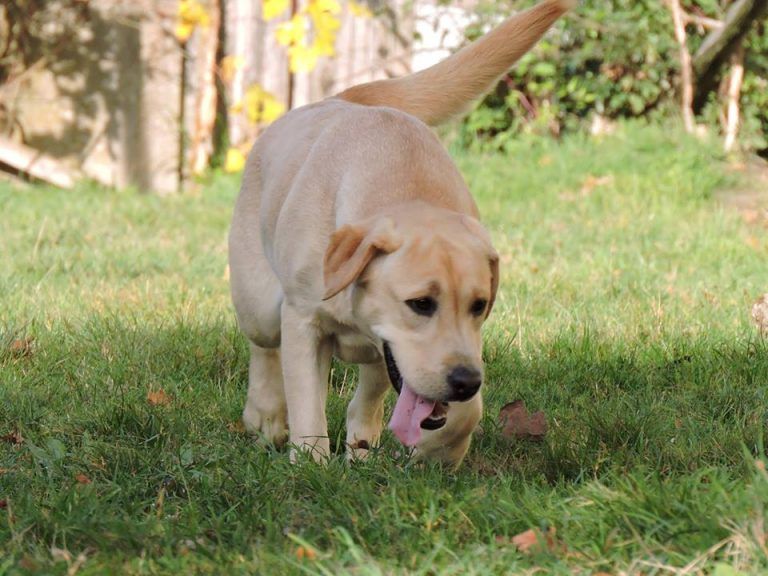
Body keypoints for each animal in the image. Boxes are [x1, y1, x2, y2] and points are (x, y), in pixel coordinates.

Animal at [231, 0, 572, 466]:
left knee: (369, 389)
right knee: (265, 348)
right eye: (421, 303)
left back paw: (362, 443)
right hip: (258, 302)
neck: (404, 185)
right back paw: (265, 415)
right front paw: (312, 463)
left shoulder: (450, 352)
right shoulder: (302, 321)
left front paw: (437, 450)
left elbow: (459, 410)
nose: (465, 381)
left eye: (479, 305)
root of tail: (339, 97)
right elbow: (307, 407)